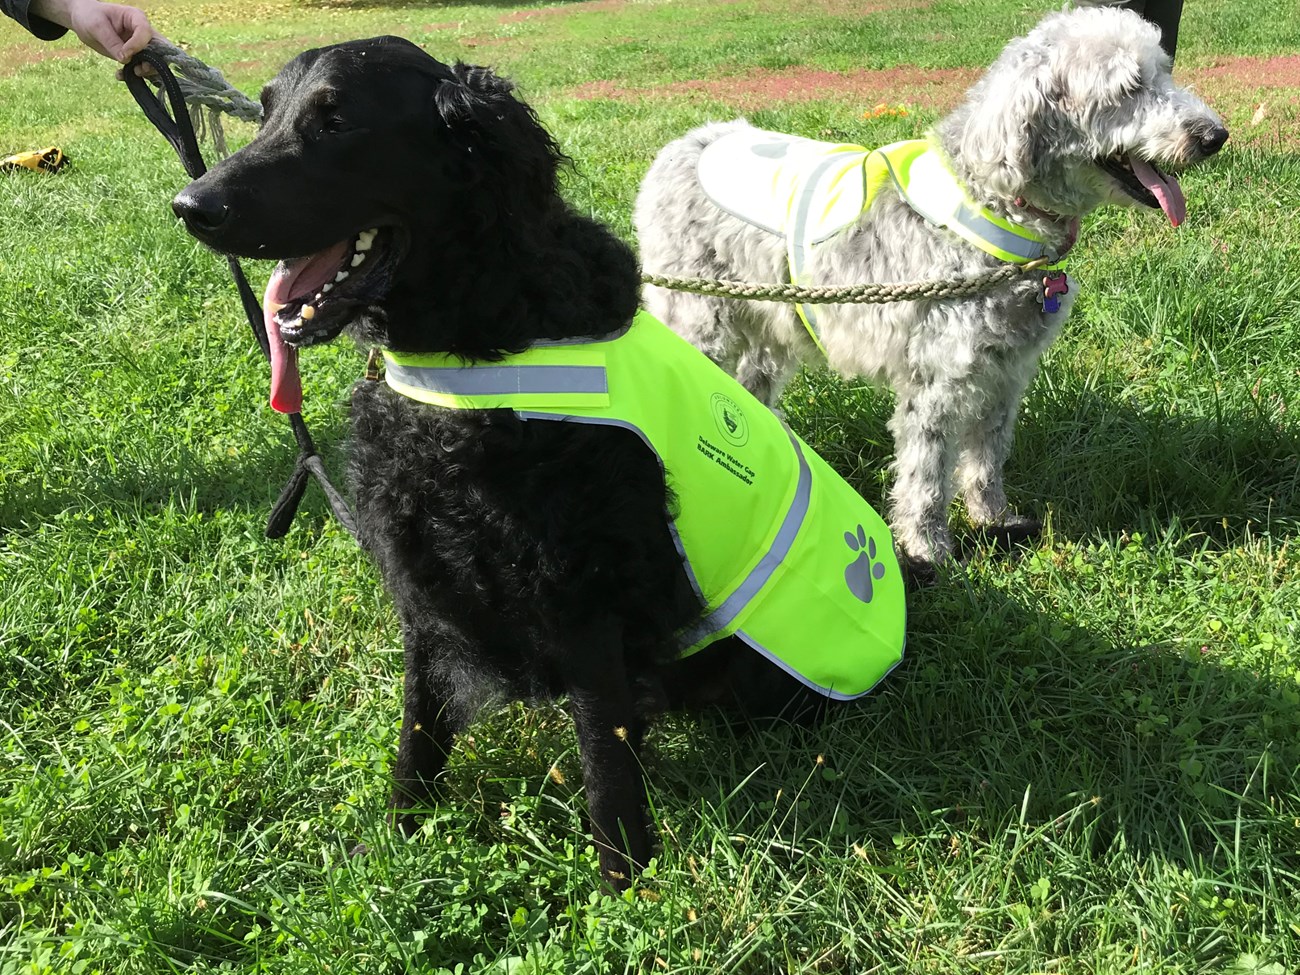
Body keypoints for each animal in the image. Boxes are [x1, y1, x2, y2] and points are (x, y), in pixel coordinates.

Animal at [175, 38, 821, 889]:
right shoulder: (420, 583)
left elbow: (605, 762)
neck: (468, 356)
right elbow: (418, 733)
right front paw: (399, 838)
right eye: (266, 110)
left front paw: (626, 885)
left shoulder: (582, 595)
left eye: (337, 121)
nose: (191, 205)